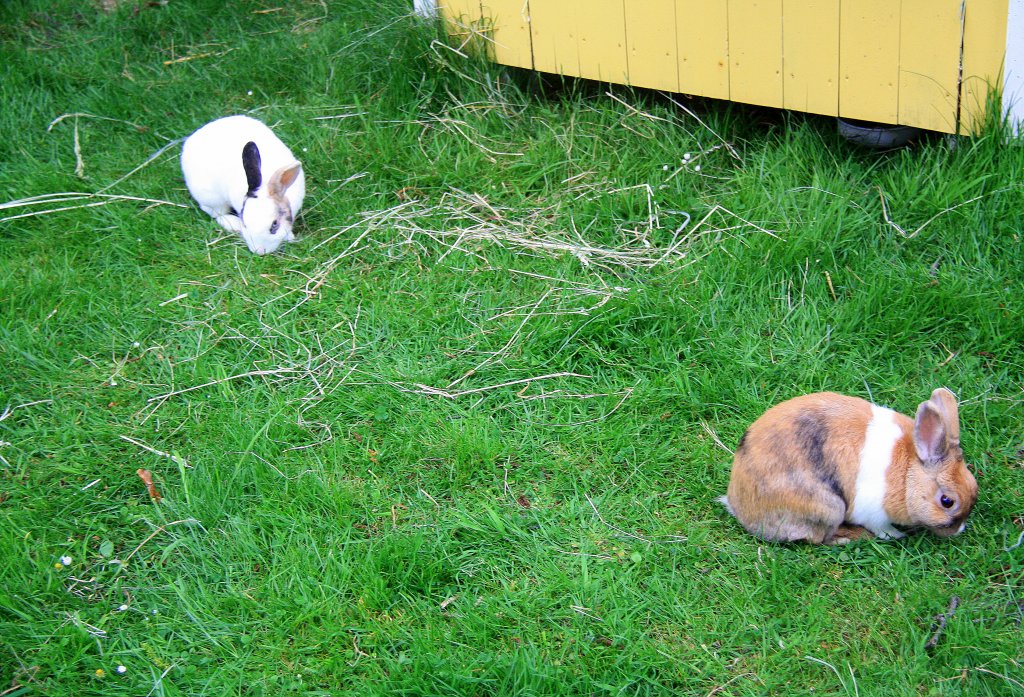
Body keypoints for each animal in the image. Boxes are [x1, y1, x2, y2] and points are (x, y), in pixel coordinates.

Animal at [181, 114, 303, 255]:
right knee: (216, 213)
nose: (259, 251)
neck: (265, 184)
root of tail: (192, 138)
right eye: (245, 223)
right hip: (212, 199)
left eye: (274, 224)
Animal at [720, 386, 974, 544]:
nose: (958, 530)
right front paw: (896, 536)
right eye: (947, 501)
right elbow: (883, 528)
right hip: (830, 508)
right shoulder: (874, 514)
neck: (908, 476)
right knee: (818, 539)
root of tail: (739, 508)